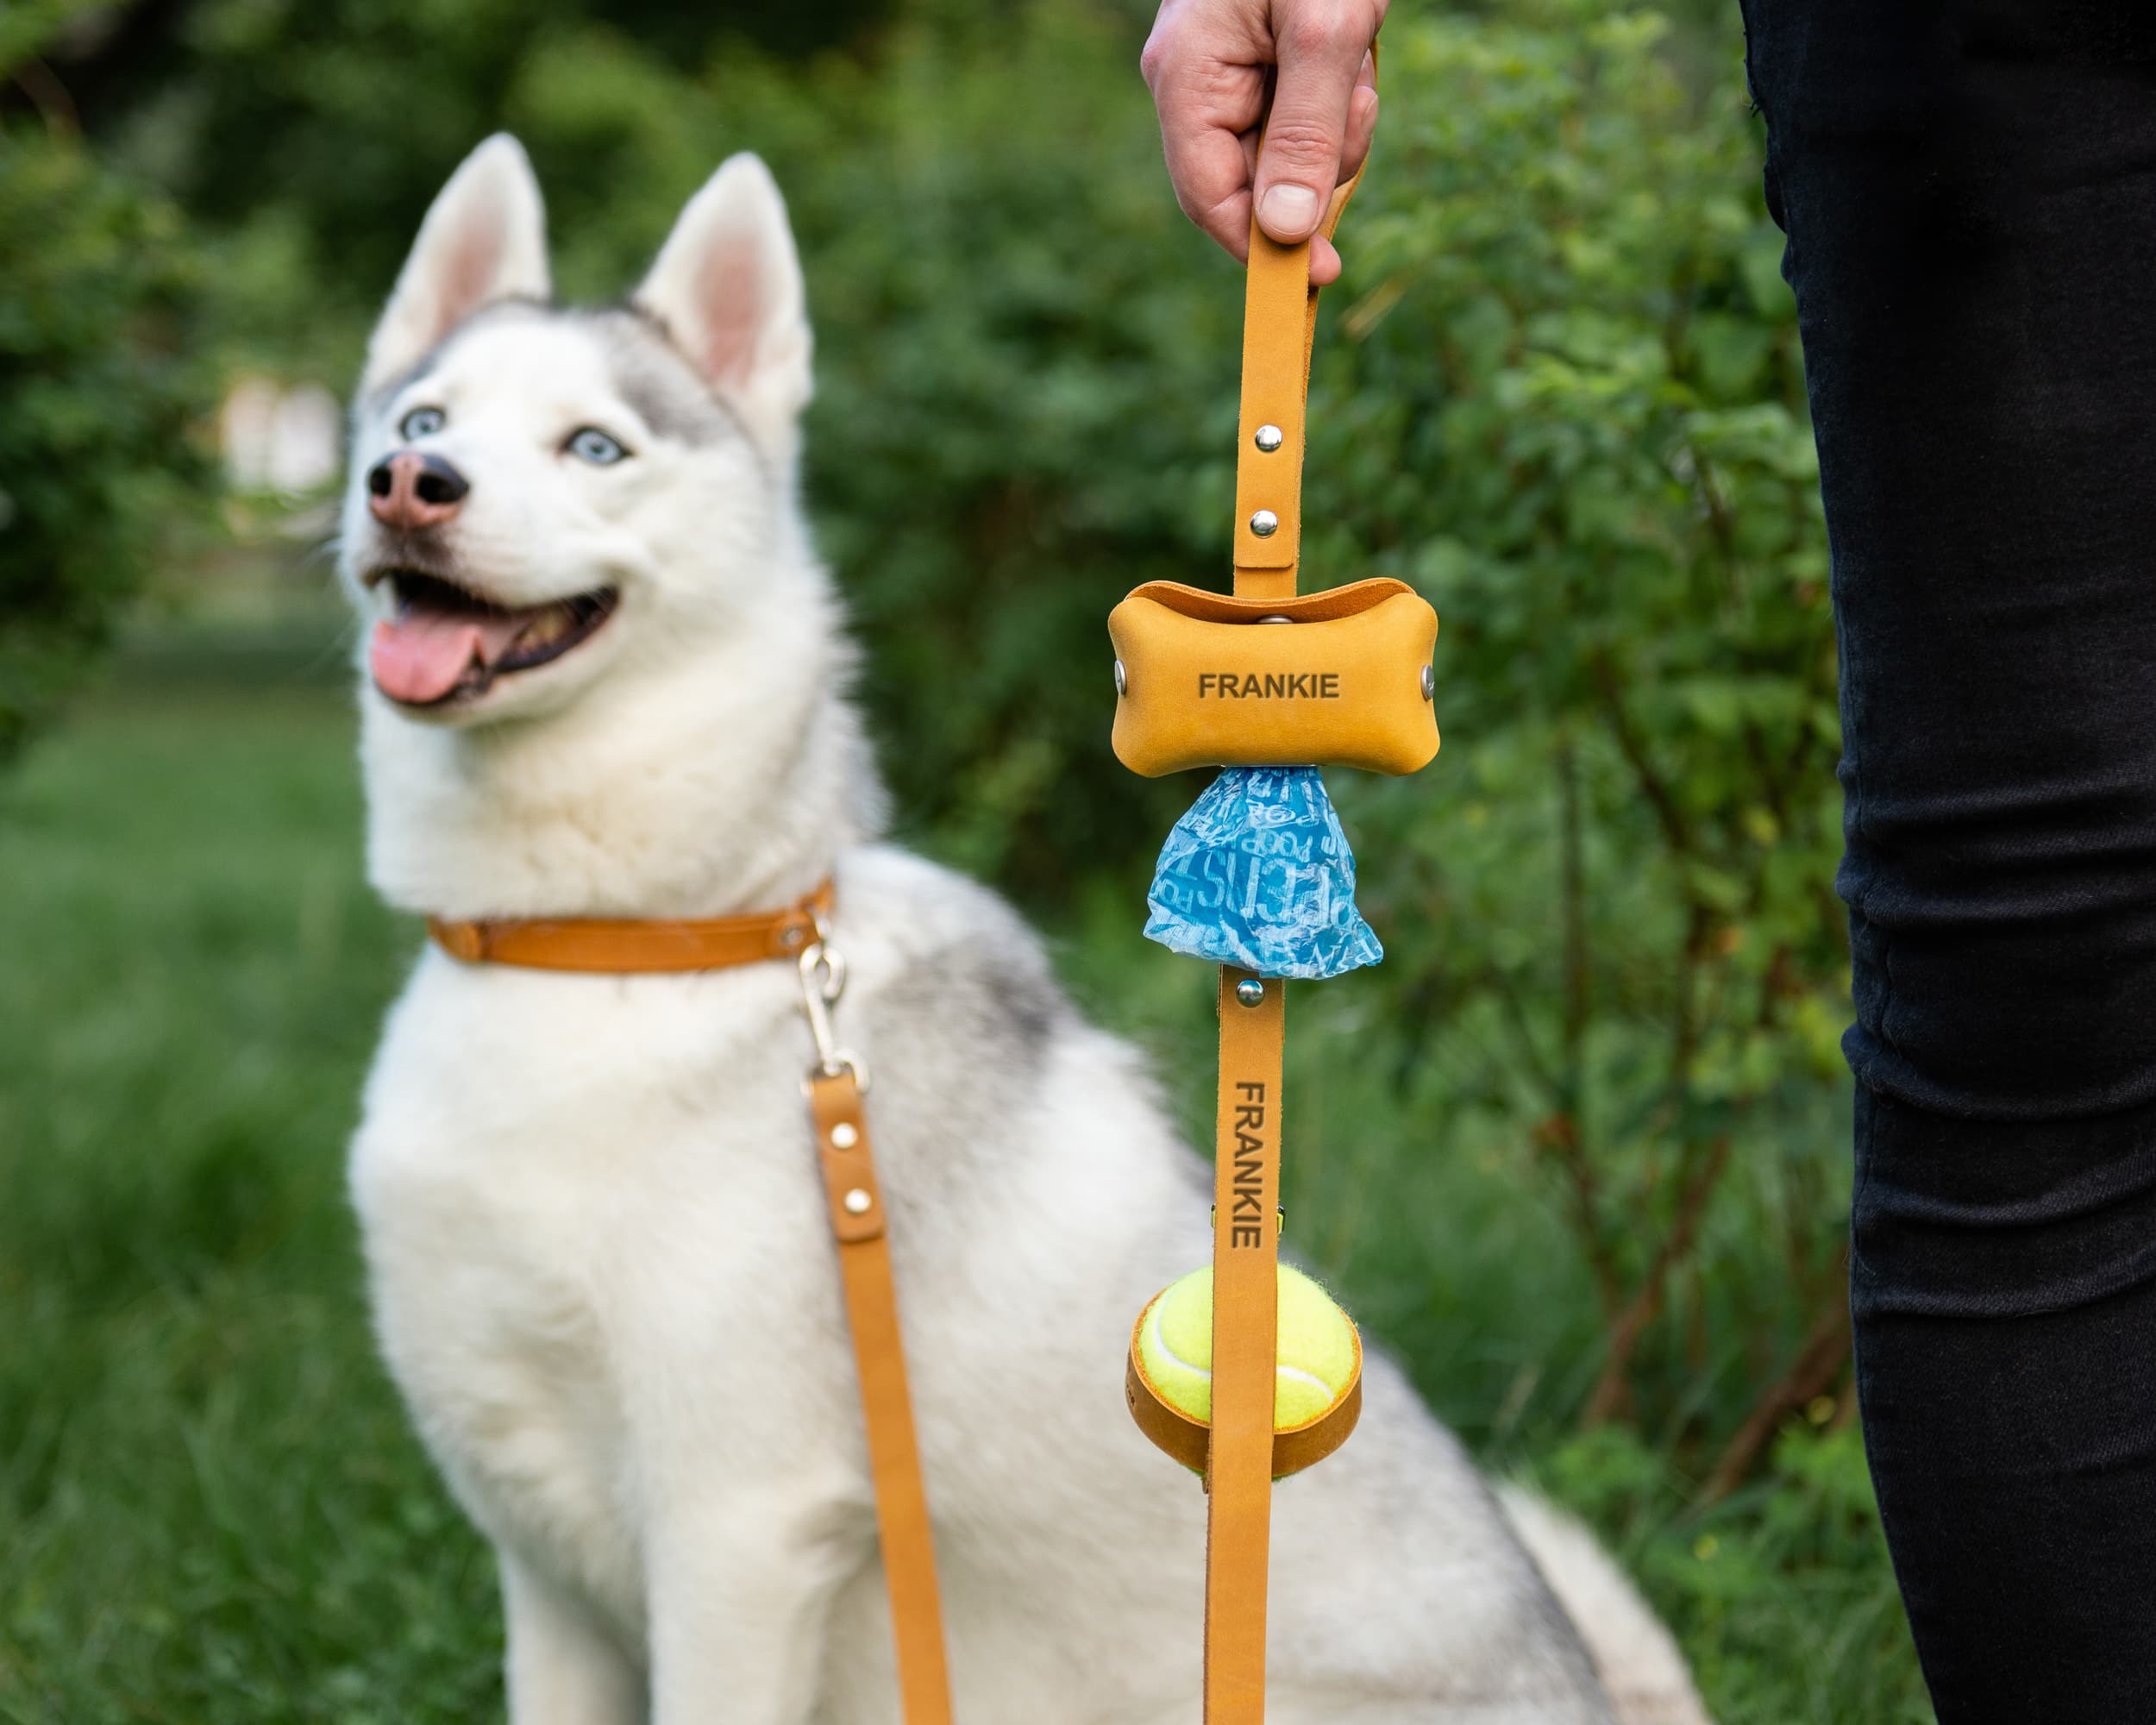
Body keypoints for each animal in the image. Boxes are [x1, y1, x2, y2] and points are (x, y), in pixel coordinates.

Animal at [345, 135, 1708, 1725]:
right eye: (424, 416)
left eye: (596, 447)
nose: (407, 484)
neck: (609, 951)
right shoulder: (546, 1572)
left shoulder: (733, 1538)